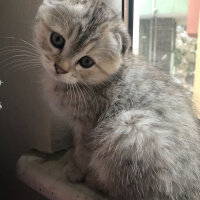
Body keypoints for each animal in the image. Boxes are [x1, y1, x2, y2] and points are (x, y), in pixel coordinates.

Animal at [33, 0, 200, 199]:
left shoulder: (89, 125)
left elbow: (83, 151)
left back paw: (95, 180)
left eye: (86, 62)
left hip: (129, 127)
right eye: (57, 39)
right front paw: (70, 157)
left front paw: (76, 169)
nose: (60, 68)